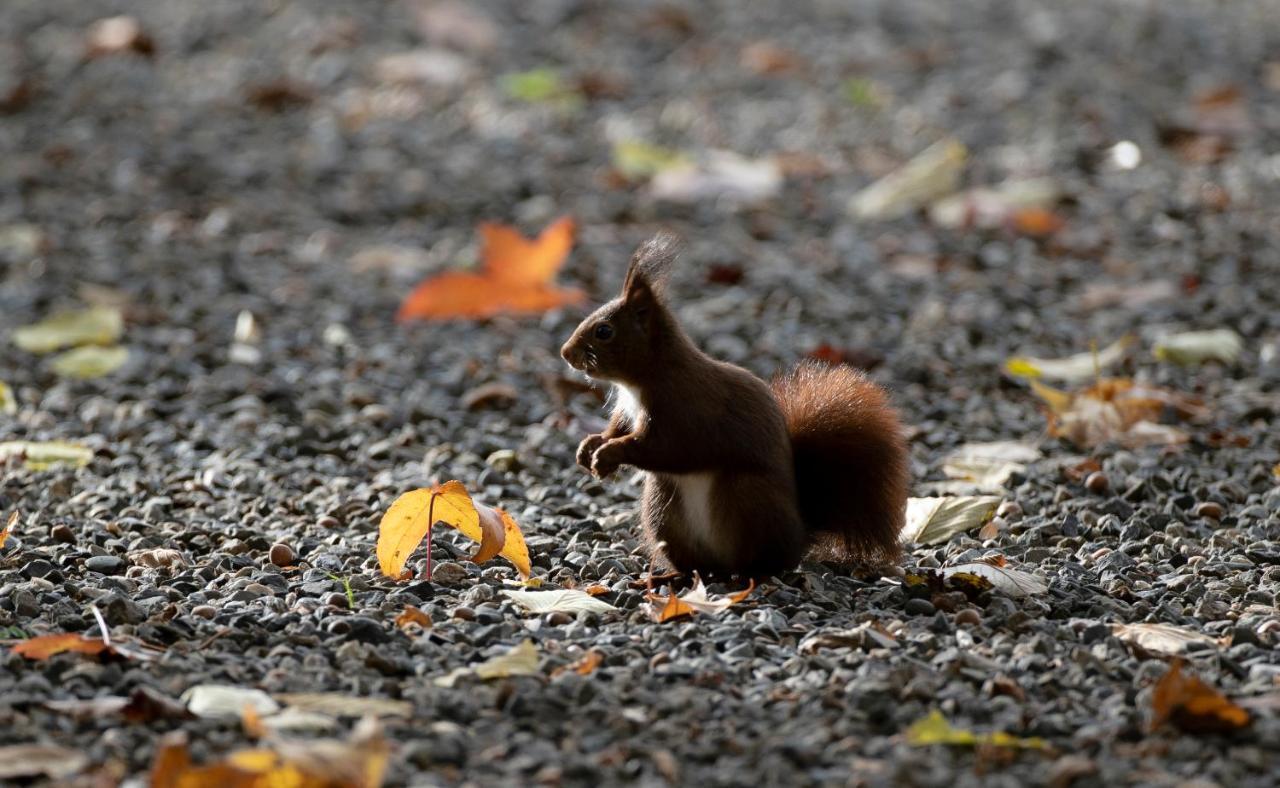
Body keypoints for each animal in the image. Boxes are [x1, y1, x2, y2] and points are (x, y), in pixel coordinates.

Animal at [560, 230, 911, 575]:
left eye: (604, 331)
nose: (566, 353)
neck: (642, 380)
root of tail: (800, 534)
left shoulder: (683, 409)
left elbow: (662, 447)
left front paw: (608, 453)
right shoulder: (628, 410)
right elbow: (618, 429)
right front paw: (590, 446)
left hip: (746, 497)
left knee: (761, 558)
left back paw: (750, 572)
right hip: (662, 508)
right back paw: (680, 575)